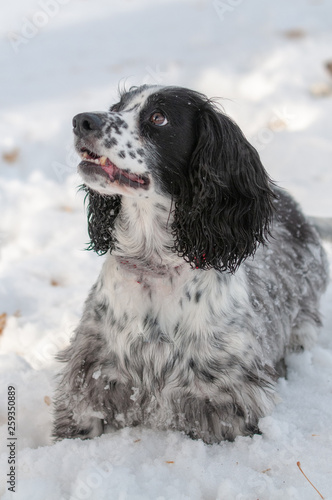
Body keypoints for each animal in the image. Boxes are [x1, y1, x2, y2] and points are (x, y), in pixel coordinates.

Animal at [53, 84, 328, 444]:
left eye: (159, 117)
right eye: (117, 107)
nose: (82, 120)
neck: (154, 267)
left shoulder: (229, 400)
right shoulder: (92, 379)